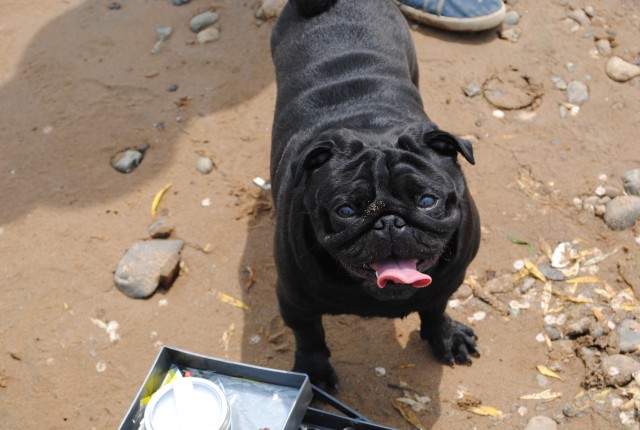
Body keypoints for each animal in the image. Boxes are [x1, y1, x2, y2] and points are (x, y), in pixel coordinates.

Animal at [270, 0, 481, 392]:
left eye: (426, 201)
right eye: (346, 210)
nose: (389, 220)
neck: (371, 127)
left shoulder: (446, 284)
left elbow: (436, 308)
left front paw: (445, 337)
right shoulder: (295, 302)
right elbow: (310, 338)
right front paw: (314, 374)